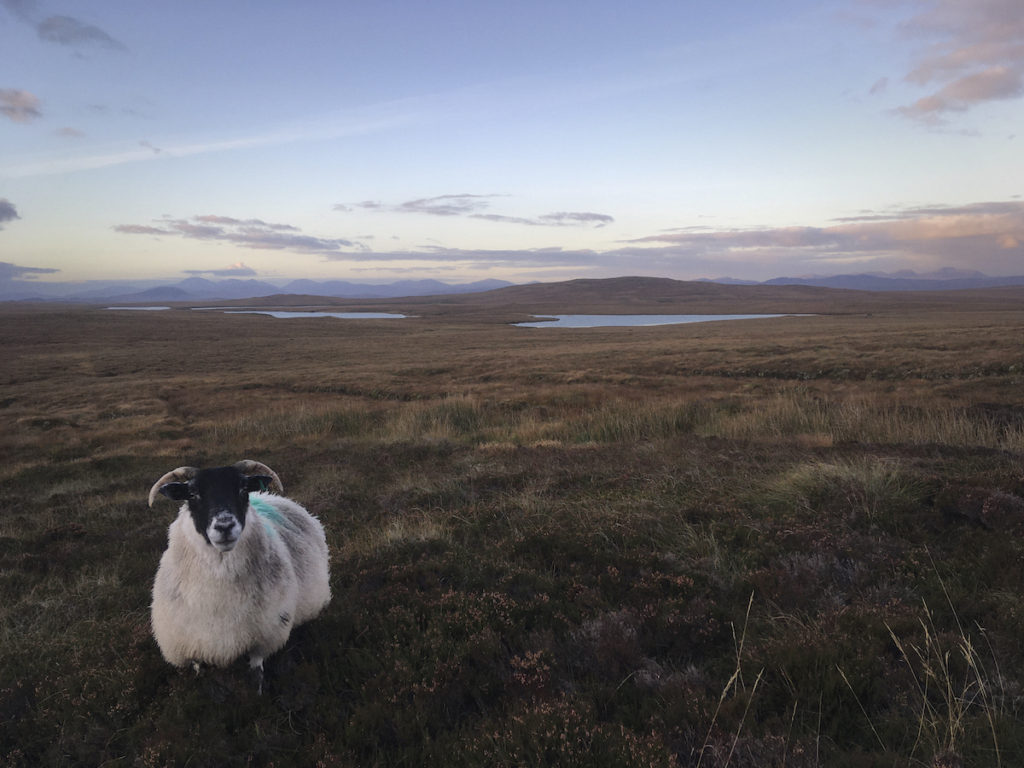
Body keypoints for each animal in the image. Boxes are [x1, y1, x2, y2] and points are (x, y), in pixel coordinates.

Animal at [148, 456, 329, 692]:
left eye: (243, 488)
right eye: (192, 493)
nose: (225, 526)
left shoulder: (265, 633)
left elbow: (256, 669)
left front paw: (257, 693)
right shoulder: (190, 642)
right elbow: (198, 669)